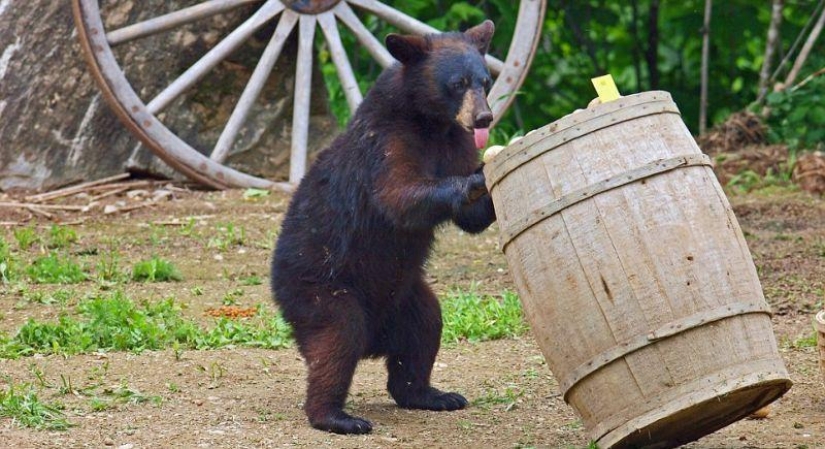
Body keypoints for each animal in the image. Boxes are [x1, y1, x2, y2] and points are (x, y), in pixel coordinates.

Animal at [274, 20, 498, 434]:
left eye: (485, 80)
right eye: (457, 83)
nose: (483, 119)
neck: (430, 124)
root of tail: (375, 340)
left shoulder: (455, 143)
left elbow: (470, 219)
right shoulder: (386, 144)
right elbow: (397, 196)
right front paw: (473, 180)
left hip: (408, 295)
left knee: (425, 329)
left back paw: (432, 394)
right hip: (320, 291)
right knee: (337, 341)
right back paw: (337, 416)